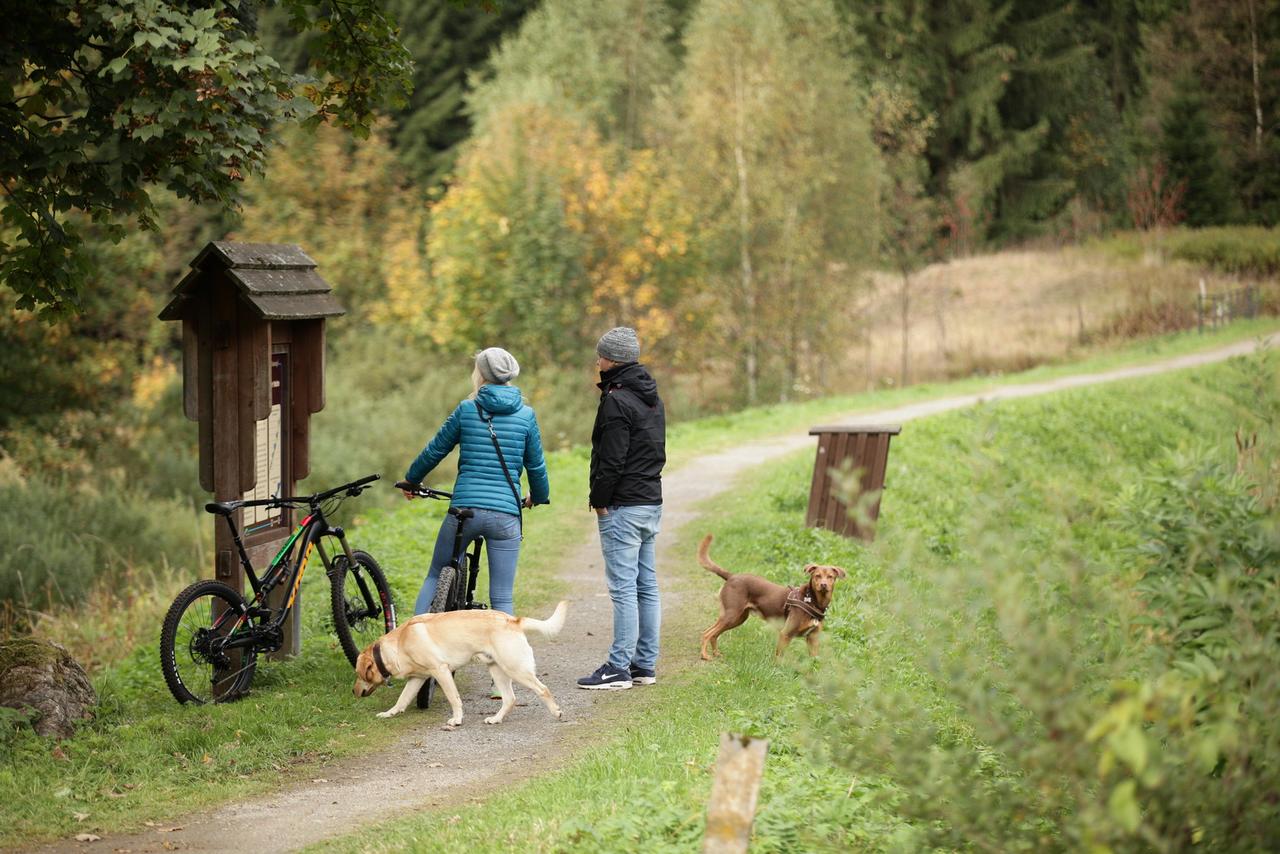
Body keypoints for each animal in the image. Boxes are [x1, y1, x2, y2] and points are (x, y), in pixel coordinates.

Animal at [353, 601, 568, 727]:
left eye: (358, 674)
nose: (353, 692)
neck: (398, 644)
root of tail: (513, 620)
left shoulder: (441, 672)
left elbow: (454, 699)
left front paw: (457, 720)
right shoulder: (417, 678)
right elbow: (402, 700)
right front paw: (389, 714)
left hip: (516, 669)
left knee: (543, 689)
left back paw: (556, 712)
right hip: (498, 671)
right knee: (510, 699)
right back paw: (496, 719)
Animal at [696, 535, 844, 660]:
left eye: (830, 577)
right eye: (817, 576)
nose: (823, 585)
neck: (813, 601)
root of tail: (732, 576)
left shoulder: (813, 638)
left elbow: (814, 661)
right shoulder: (785, 634)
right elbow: (779, 657)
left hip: (738, 618)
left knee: (714, 634)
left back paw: (716, 653)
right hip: (731, 615)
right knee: (706, 633)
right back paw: (704, 655)